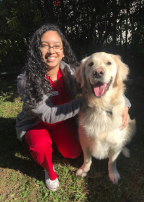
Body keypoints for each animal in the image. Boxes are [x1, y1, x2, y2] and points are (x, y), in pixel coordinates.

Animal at [75, 51, 136, 183]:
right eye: (90, 64)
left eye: (109, 63)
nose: (98, 72)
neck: (101, 106)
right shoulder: (84, 138)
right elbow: (87, 158)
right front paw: (84, 170)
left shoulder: (115, 143)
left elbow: (112, 162)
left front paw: (113, 174)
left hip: (131, 125)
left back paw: (125, 151)